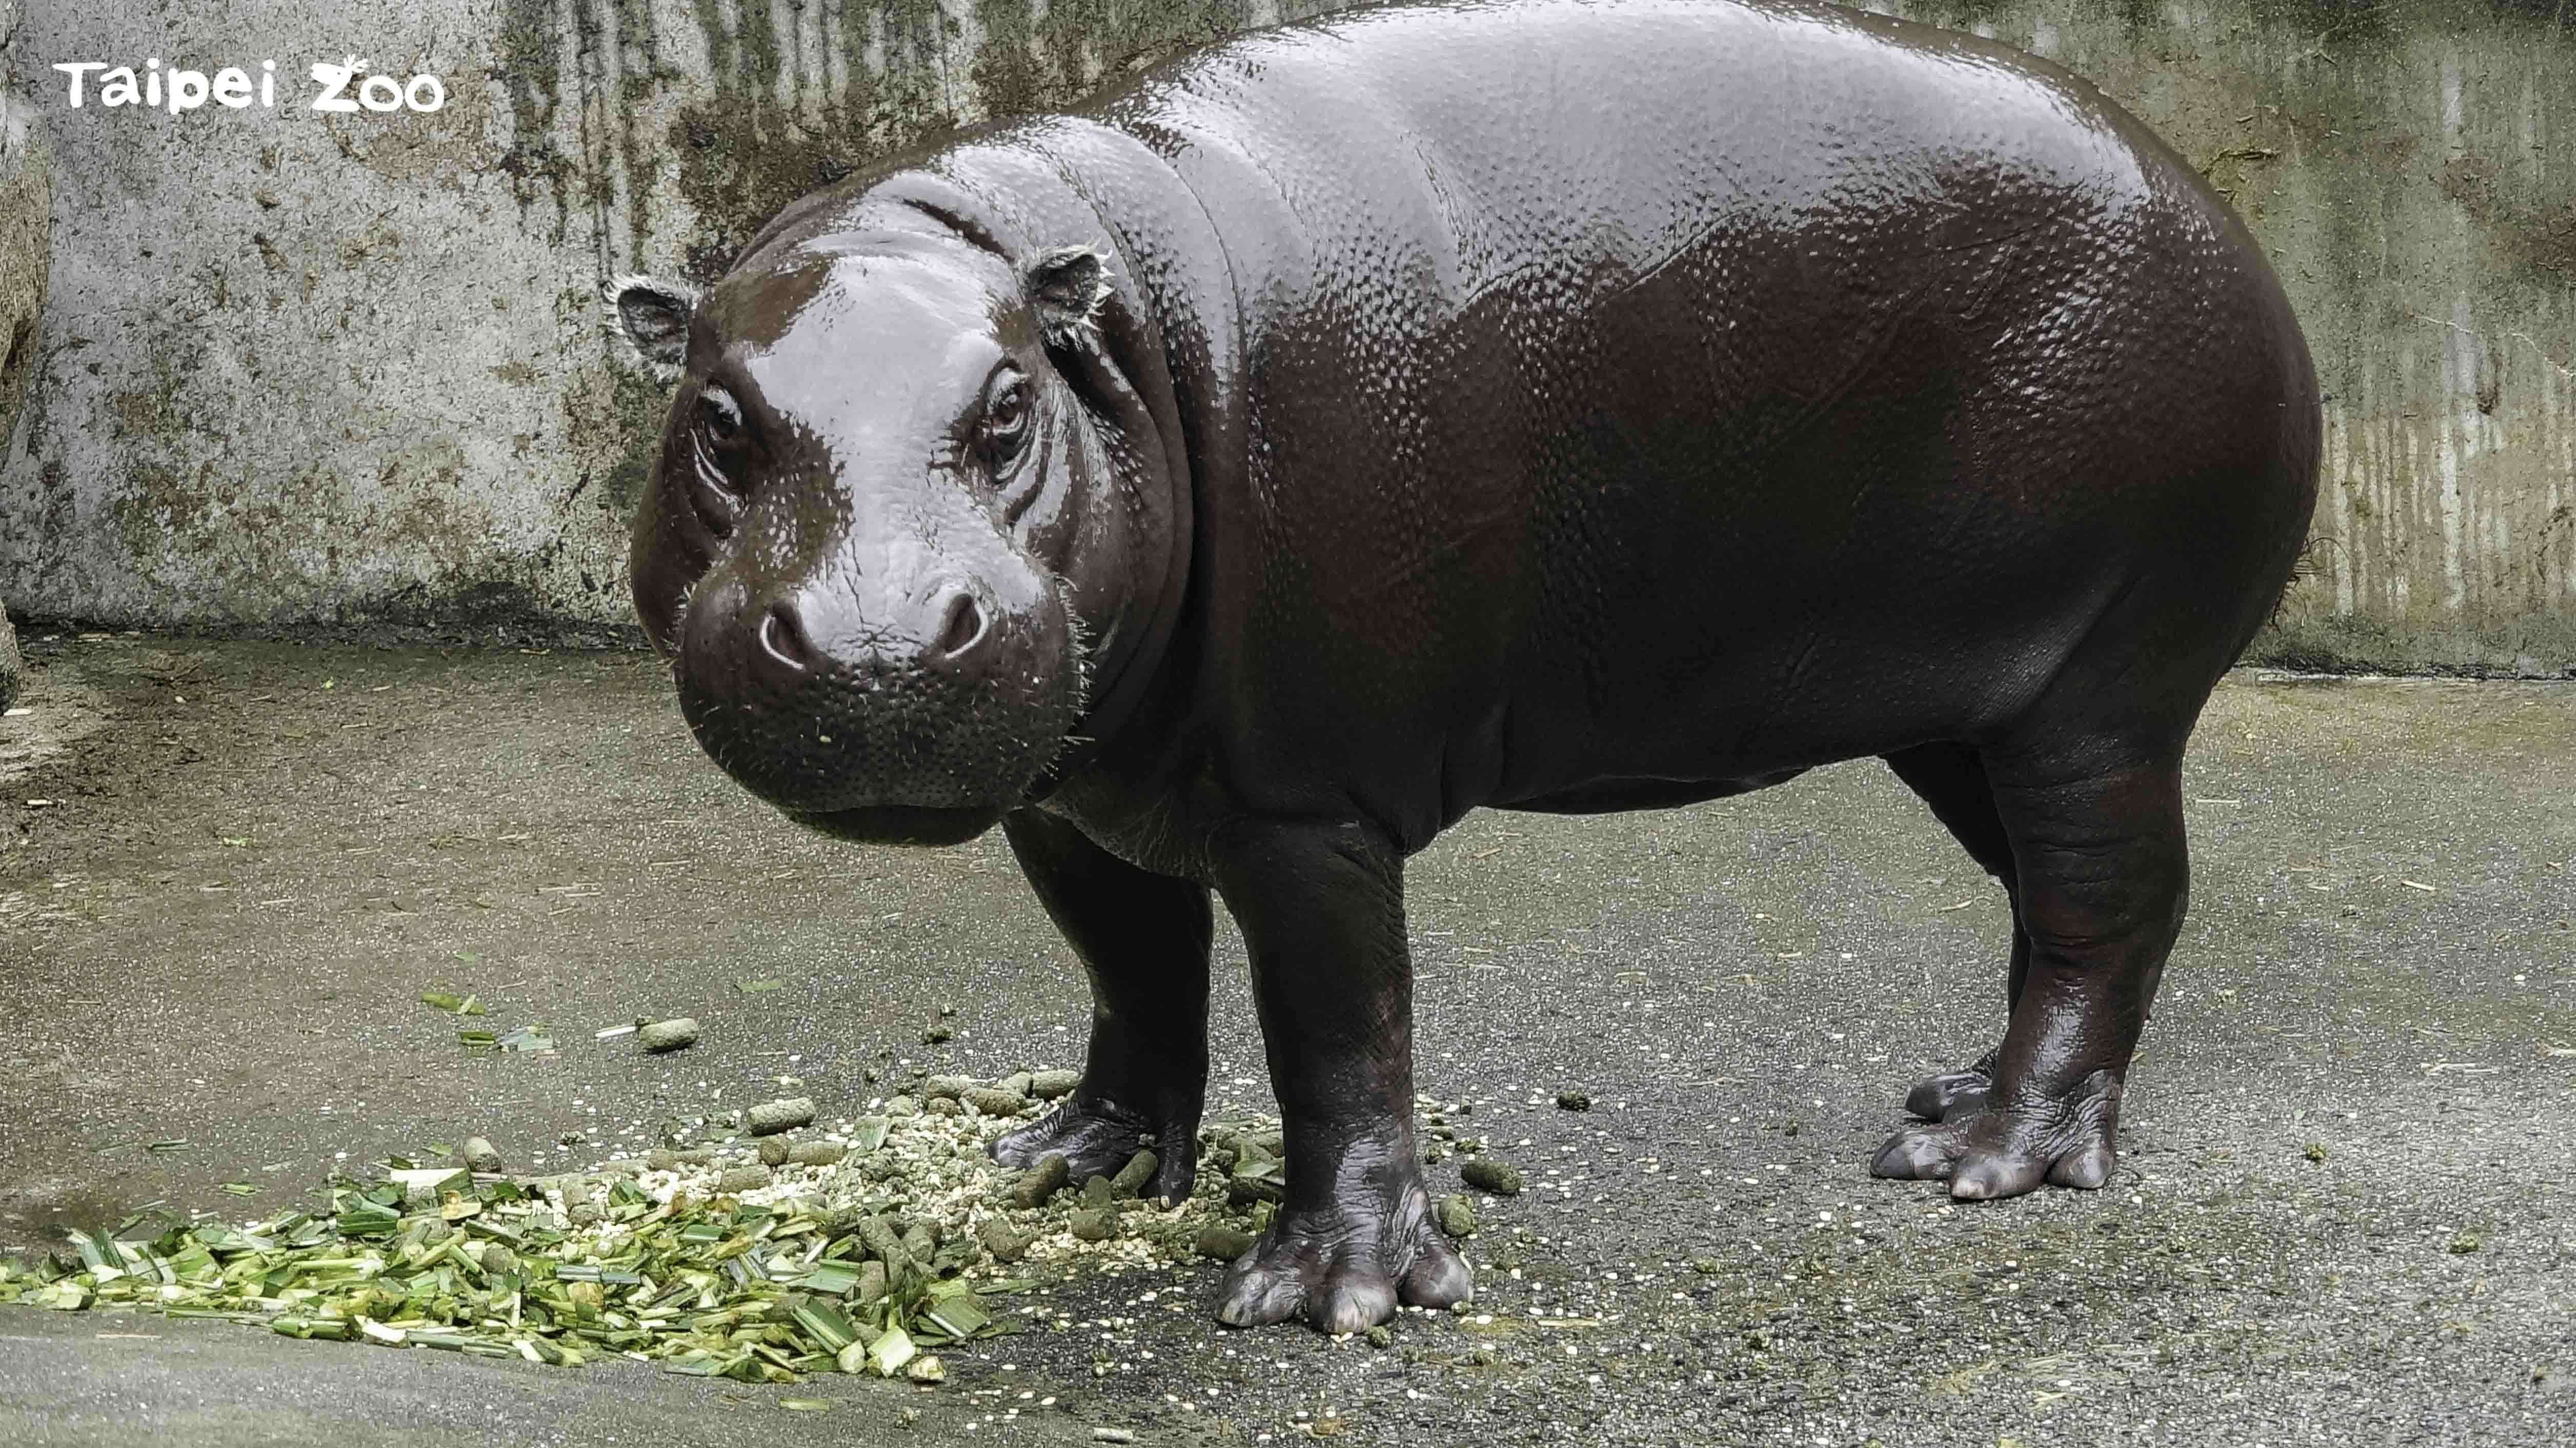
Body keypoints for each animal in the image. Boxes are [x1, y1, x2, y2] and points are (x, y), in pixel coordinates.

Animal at [613, 0, 2328, 1329]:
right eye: (717, 420)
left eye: (1008, 409)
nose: (879, 643)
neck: (1116, 335)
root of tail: (2216, 212)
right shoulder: (1073, 791)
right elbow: (1130, 972)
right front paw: (1065, 1160)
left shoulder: (1308, 806)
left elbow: (1338, 1035)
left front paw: (1331, 1291)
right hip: (1964, 712)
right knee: (2049, 902)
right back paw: (1956, 1094)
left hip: (2099, 691)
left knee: (2109, 904)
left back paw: (1984, 1159)